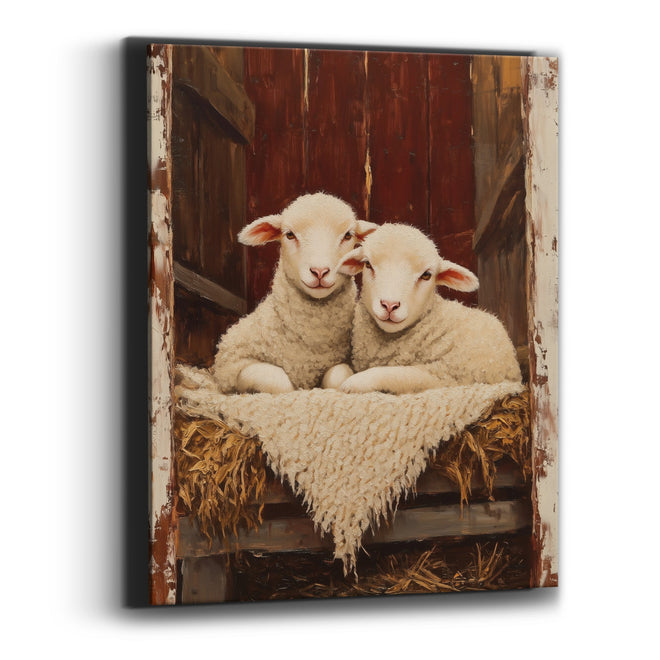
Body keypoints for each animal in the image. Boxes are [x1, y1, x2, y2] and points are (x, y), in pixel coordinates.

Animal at [212, 192, 378, 394]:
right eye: (289, 234)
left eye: (348, 235)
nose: (319, 271)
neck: (312, 345)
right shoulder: (232, 365)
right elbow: (280, 383)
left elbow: (338, 377)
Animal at [336, 223, 522, 394]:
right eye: (367, 264)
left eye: (426, 275)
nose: (389, 305)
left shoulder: (444, 375)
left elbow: (399, 375)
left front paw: (353, 383)